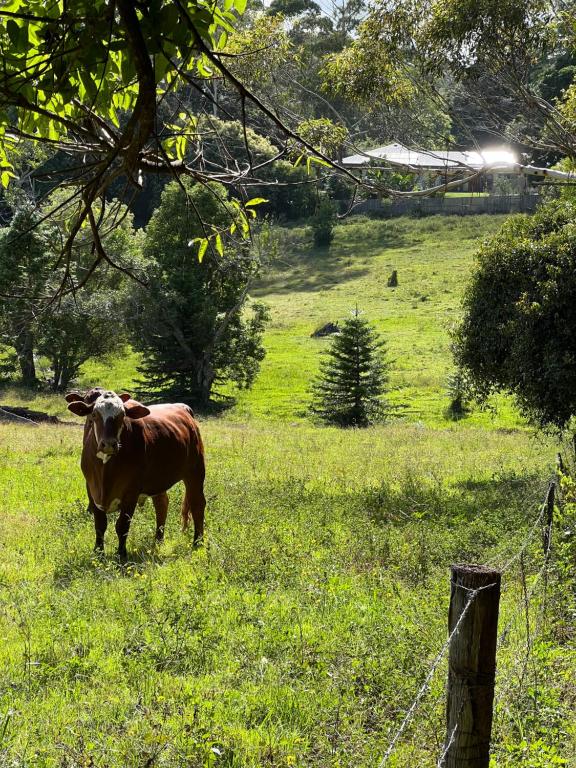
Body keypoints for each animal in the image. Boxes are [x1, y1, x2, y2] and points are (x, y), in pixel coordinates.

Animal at [65, 389, 205, 560]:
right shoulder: (92, 490)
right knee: (162, 504)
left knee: (198, 504)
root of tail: (183, 407)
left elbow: (122, 526)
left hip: (196, 470)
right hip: (158, 479)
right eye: (94, 414)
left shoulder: (130, 492)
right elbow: (100, 524)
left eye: (122, 415)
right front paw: (98, 554)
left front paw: (121, 555)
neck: (105, 473)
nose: (109, 444)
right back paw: (158, 541)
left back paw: (197, 543)